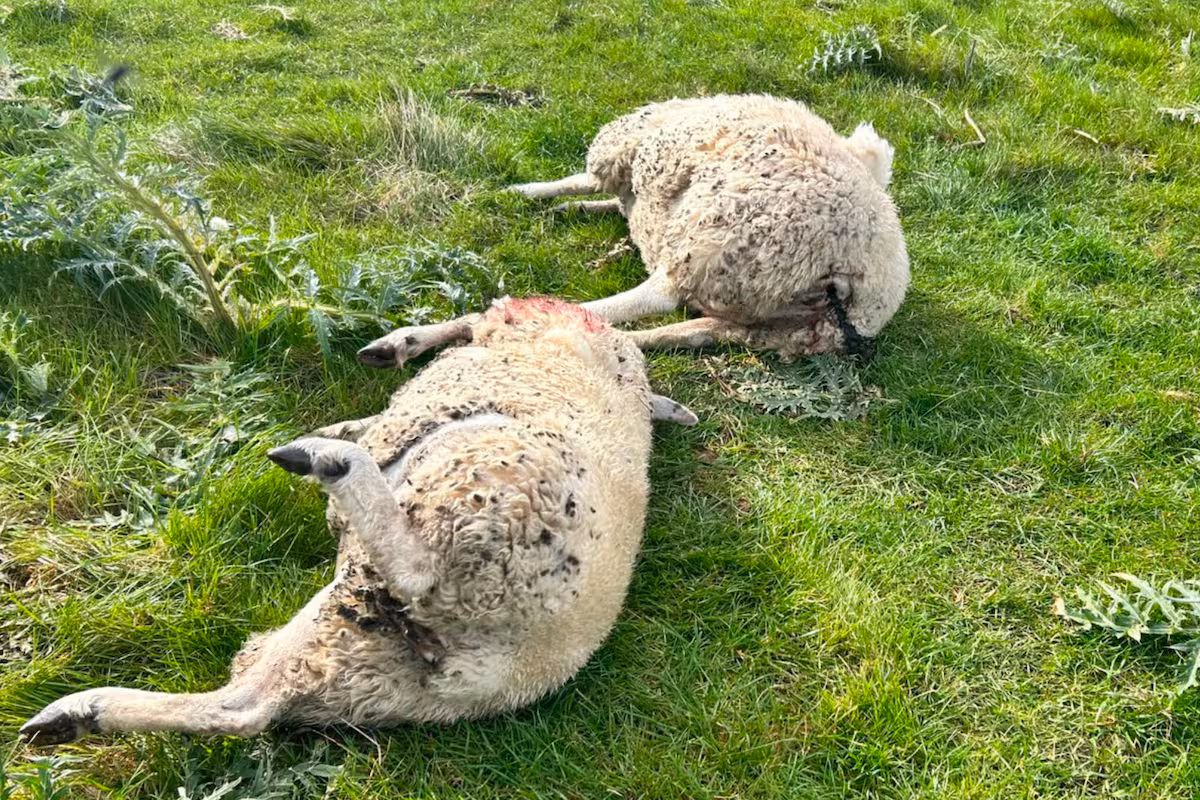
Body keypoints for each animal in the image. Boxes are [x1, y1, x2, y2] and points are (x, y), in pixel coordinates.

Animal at [19, 297, 696, 745]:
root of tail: (501, 666)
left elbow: (469, 319)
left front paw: (386, 363)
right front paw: (376, 375)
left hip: (484, 530)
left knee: (417, 569)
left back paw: (332, 462)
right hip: (355, 650)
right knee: (244, 710)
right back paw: (77, 716)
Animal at [356, 94, 908, 369]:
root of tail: (852, 279)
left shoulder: (630, 157)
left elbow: (578, 178)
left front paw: (526, 192)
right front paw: (569, 207)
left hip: (717, 251)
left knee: (640, 302)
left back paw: (411, 340)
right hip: (766, 323)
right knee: (680, 332)